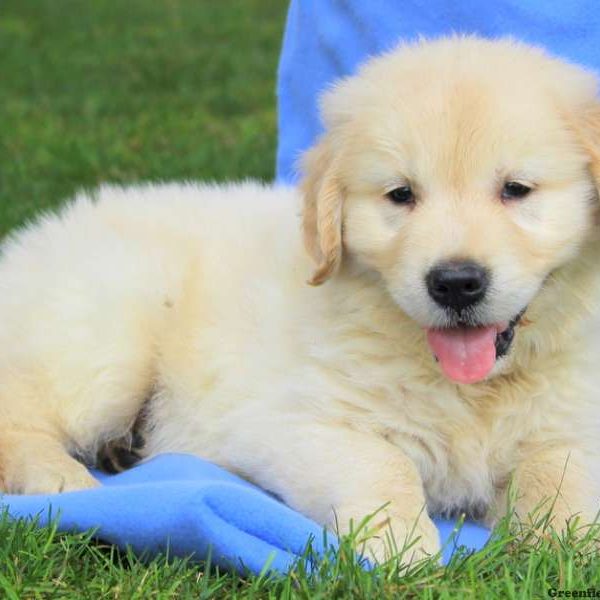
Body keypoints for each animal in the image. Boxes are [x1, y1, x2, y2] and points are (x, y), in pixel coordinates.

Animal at [1, 36, 600, 564]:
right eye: (401, 195)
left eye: (516, 190)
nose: (455, 282)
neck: (470, 390)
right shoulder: (294, 422)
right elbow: (383, 464)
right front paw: (402, 546)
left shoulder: (570, 427)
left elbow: (561, 479)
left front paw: (563, 547)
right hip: (105, 341)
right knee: (20, 413)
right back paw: (62, 477)